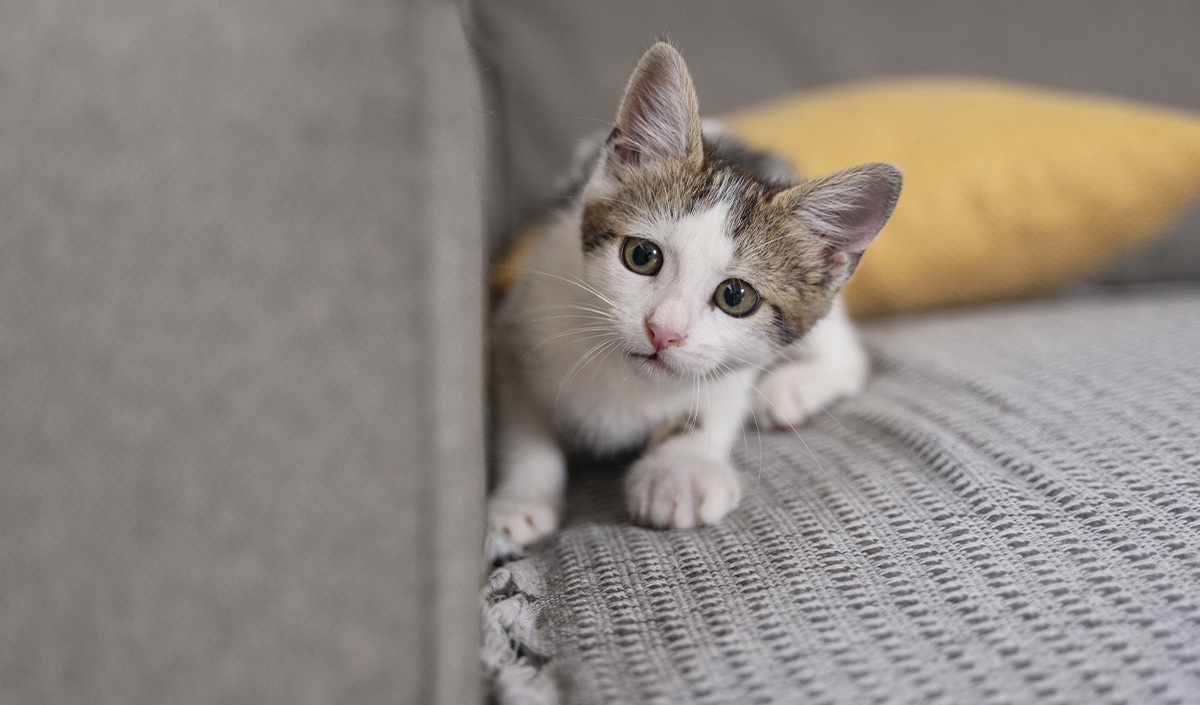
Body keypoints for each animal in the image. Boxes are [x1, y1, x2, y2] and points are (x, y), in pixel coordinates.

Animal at [487, 42, 902, 544]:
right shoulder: (521, 320)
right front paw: (520, 501)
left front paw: (679, 473)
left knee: (852, 353)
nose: (662, 332)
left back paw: (791, 389)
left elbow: (717, 399)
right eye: (641, 255)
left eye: (736, 297)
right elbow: (522, 426)